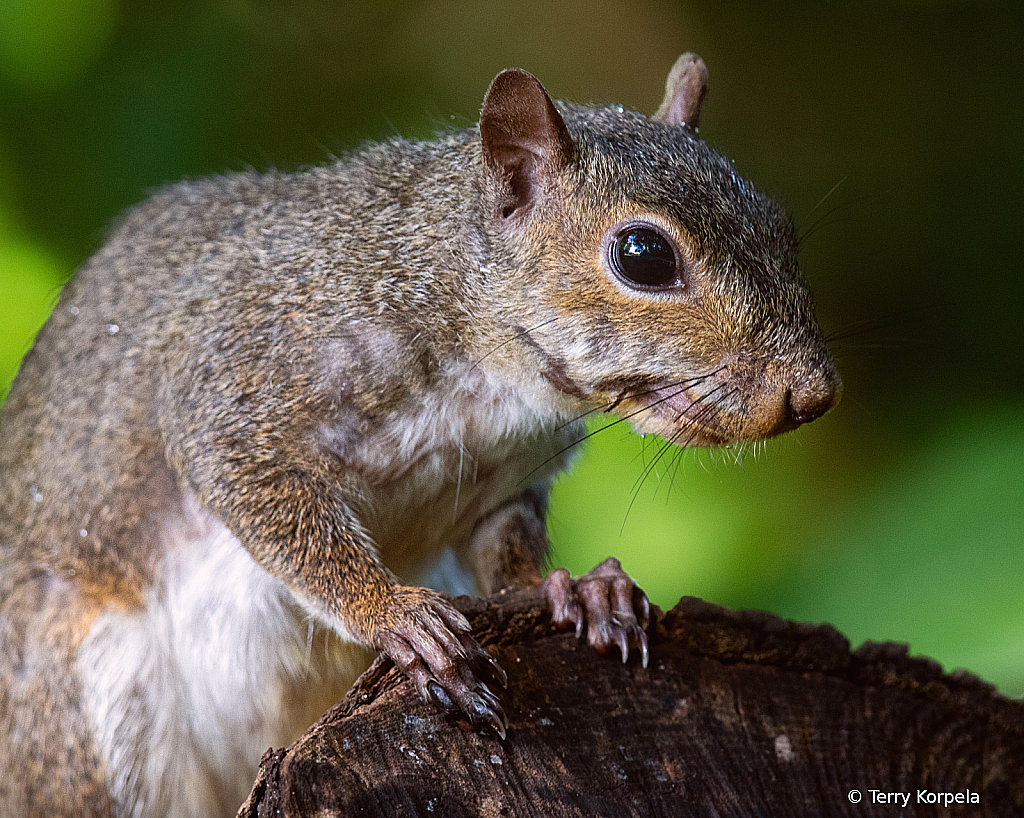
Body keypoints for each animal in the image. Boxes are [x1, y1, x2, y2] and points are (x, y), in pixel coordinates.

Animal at [0, 54, 839, 814]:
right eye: (644, 255)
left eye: (780, 224)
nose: (813, 392)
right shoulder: (243, 385)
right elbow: (264, 499)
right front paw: (395, 612)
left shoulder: (506, 483)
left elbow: (507, 547)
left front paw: (580, 589)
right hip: (85, 718)